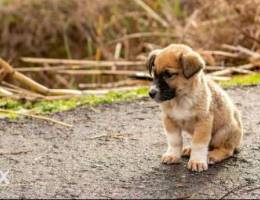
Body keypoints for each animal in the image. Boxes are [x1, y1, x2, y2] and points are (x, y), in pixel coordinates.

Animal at [147, 43, 243, 172]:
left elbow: (199, 143)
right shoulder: (169, 120)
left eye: (169, 75)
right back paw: (189, 150)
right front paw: (173, 155)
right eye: (154, 74)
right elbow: (174, 141)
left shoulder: (203, 121)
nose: (151, 93)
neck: (181, 98)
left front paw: (197, 161)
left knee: (227, 150)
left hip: (222, 133)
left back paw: (212, 155)